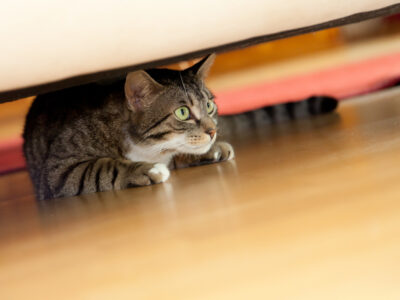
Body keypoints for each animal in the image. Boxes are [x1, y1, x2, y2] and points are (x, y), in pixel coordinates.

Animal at [24, 53, 338, 202]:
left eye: (209, 106)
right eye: (183, 112)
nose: (213, 130)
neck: (148, 147)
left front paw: (207, 151)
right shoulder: (58, 171)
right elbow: (103, 166)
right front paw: (147, 170)